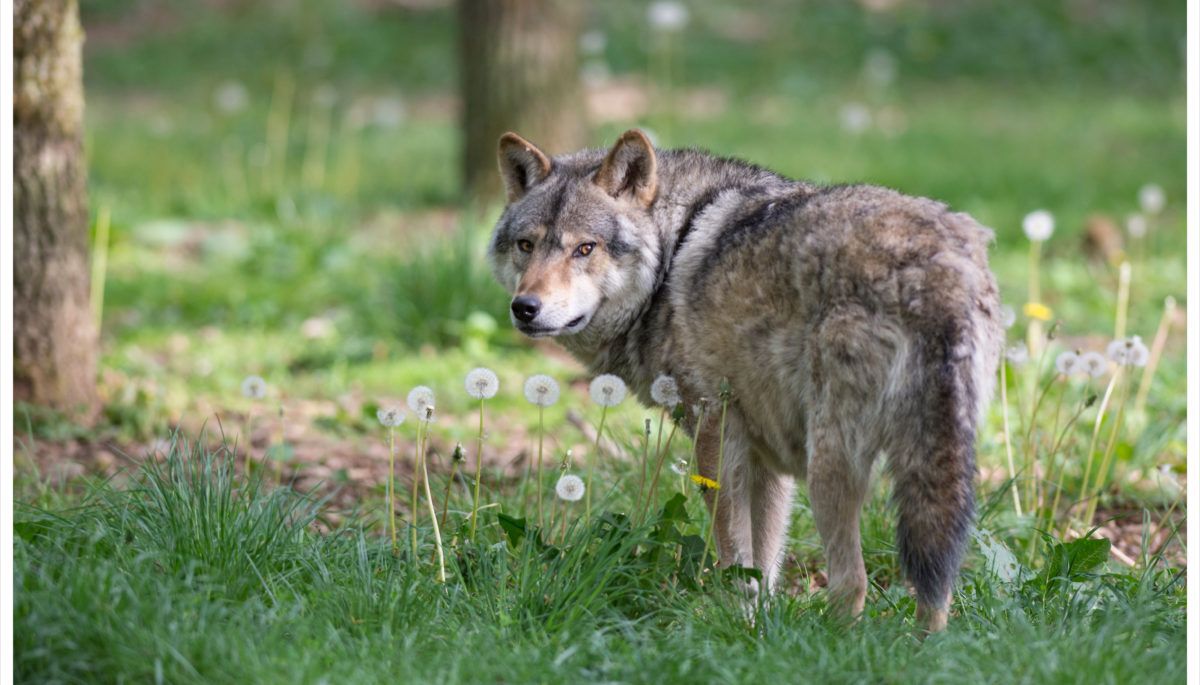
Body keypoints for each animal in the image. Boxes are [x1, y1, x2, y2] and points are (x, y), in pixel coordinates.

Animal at [488, 129, 1003, 632]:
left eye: (585, 248)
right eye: (527, 245)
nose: (525, 308)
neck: (669, 257)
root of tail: (938, 267)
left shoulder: (717, 440)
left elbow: (736, 562)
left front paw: (737, 627)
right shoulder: (765, 461)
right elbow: (765, 566)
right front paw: (759, 633)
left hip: (830, 468)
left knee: (851, 584)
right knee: (936, 586)